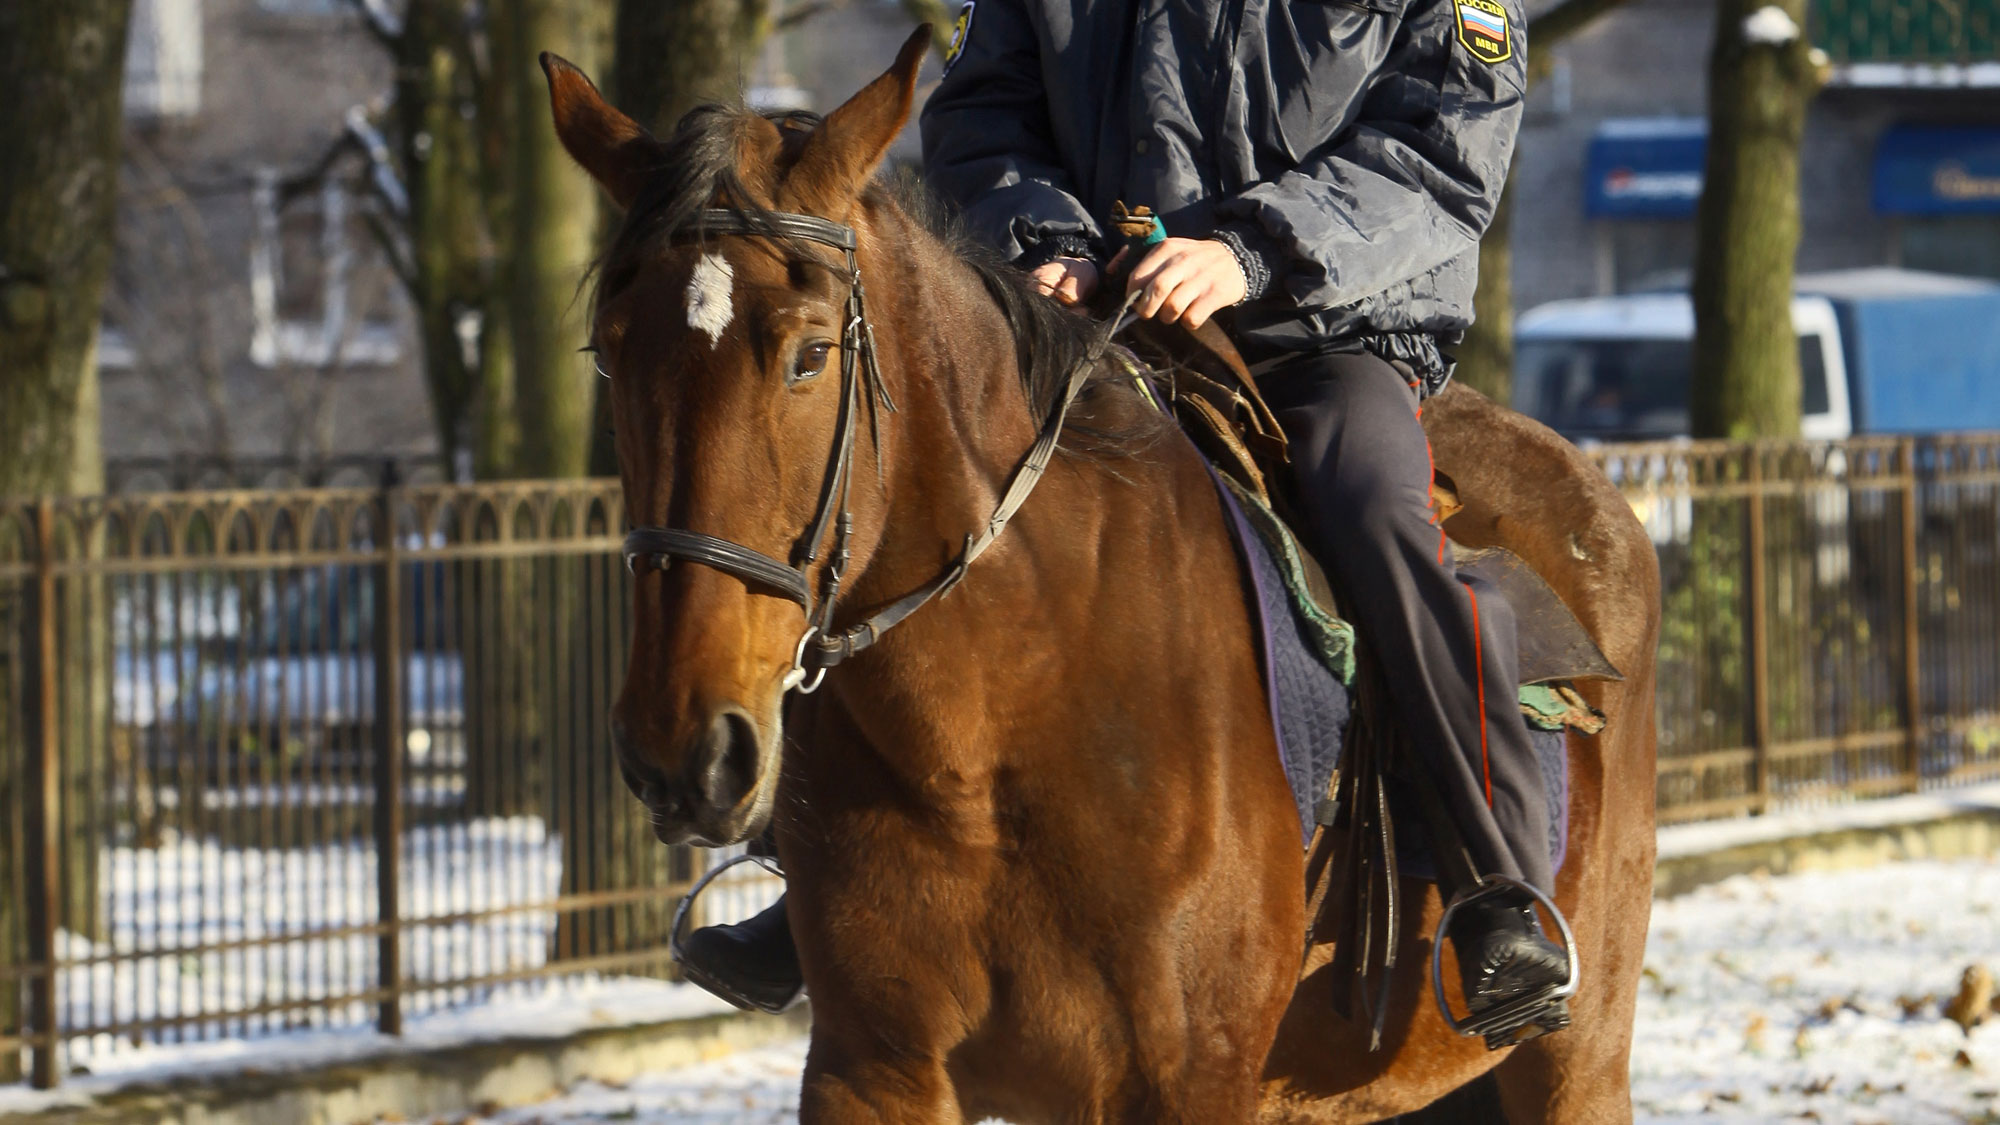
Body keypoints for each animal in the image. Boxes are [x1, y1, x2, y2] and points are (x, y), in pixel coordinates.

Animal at [543, 28, 1659, 1123]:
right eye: (610, 352)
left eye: (809, 354)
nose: (685, 750)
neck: (997, 726)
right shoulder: (873, 1071)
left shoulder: (1187, 1082)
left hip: (1575, 1063)